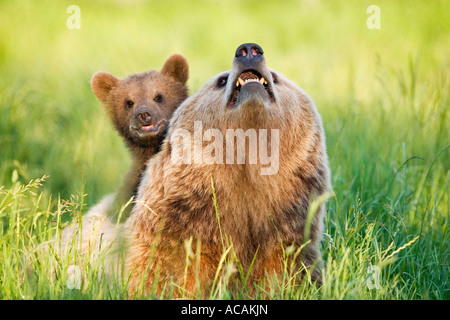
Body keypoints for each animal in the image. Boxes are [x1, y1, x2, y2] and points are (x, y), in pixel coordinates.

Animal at [124, 43, 330, 296]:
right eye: (221, 80)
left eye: (276, 77)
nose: (249, 50)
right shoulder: (183, 222)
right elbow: (164, 266)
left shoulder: (287, 222)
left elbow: (287, 265)